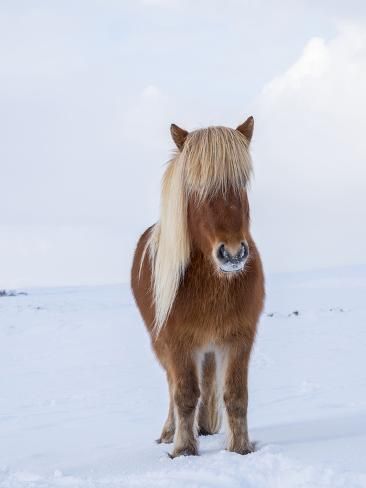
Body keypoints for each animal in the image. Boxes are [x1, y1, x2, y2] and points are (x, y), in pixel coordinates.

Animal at [130, 115, 264, 458]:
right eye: (195, 188)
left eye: (241, 183)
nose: (233, 253)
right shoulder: (177, 343)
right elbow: (185, 394)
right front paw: (183, 449)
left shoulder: (239, 337)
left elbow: (235, 395)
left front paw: (240, 449)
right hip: (162, 344)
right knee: (173, 385)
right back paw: (170, 432)